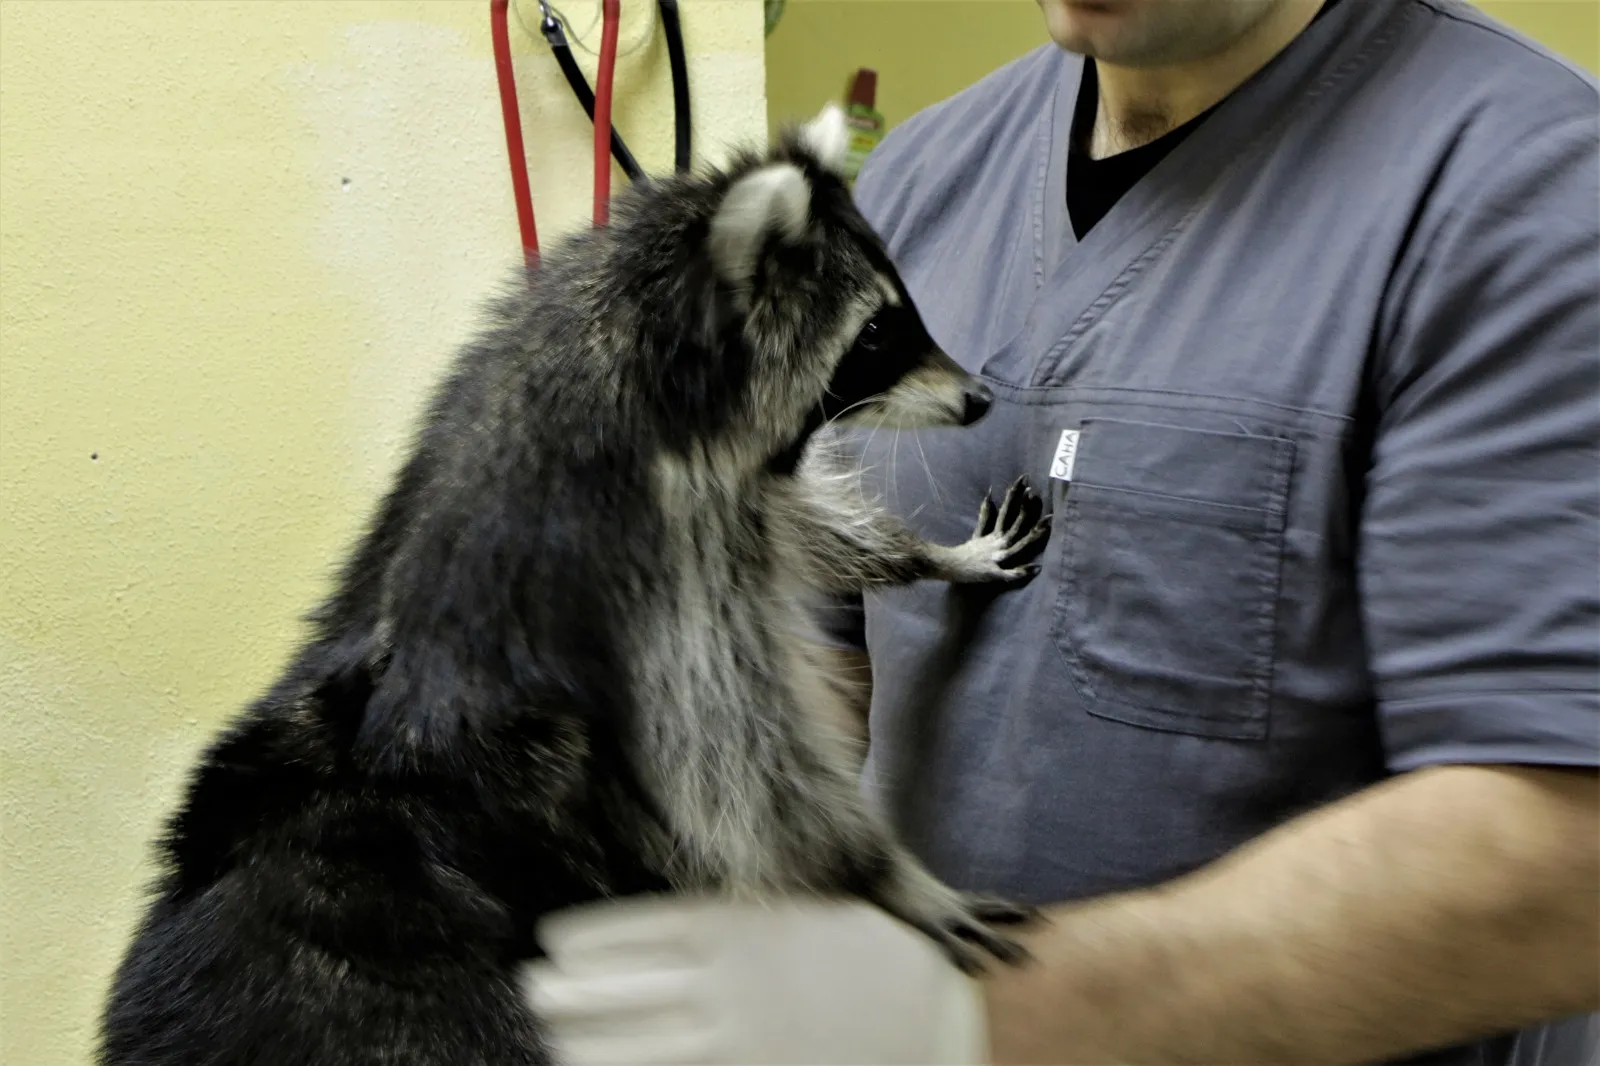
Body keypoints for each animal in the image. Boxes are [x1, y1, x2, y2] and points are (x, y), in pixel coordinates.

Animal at [96, 105, 1049, 1062]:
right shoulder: (657, 572)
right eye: (878, 334)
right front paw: (888, 875)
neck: (623, 336)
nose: (979, 398)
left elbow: (813, 530)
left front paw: (929, 556)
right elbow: (741, 780)